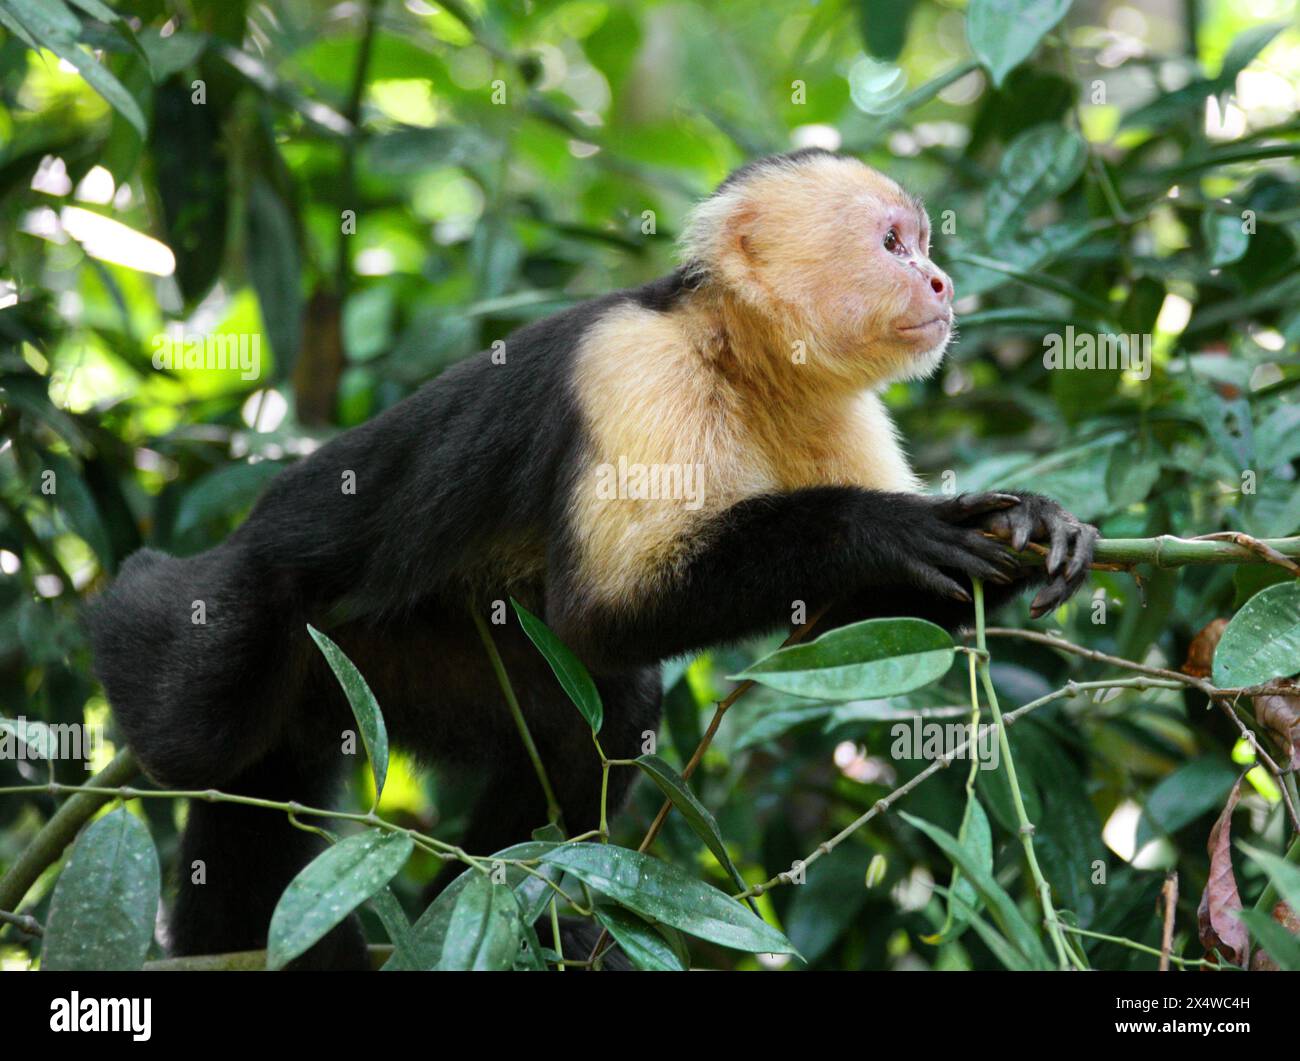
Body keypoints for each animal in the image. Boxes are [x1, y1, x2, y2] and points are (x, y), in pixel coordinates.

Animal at [86, 149, 1097, 967]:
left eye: (920, 243)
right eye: (894, 244)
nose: (942, 281)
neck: (744, 361)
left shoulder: (839, 413)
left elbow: (850, 635)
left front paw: (1030, 524)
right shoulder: (633, 369)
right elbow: (602, 612)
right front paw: (884, 527)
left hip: (390, 670)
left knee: (601, 713)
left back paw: (505, 898)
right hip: (275, 603)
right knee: (200, 724)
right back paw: (136, 600)